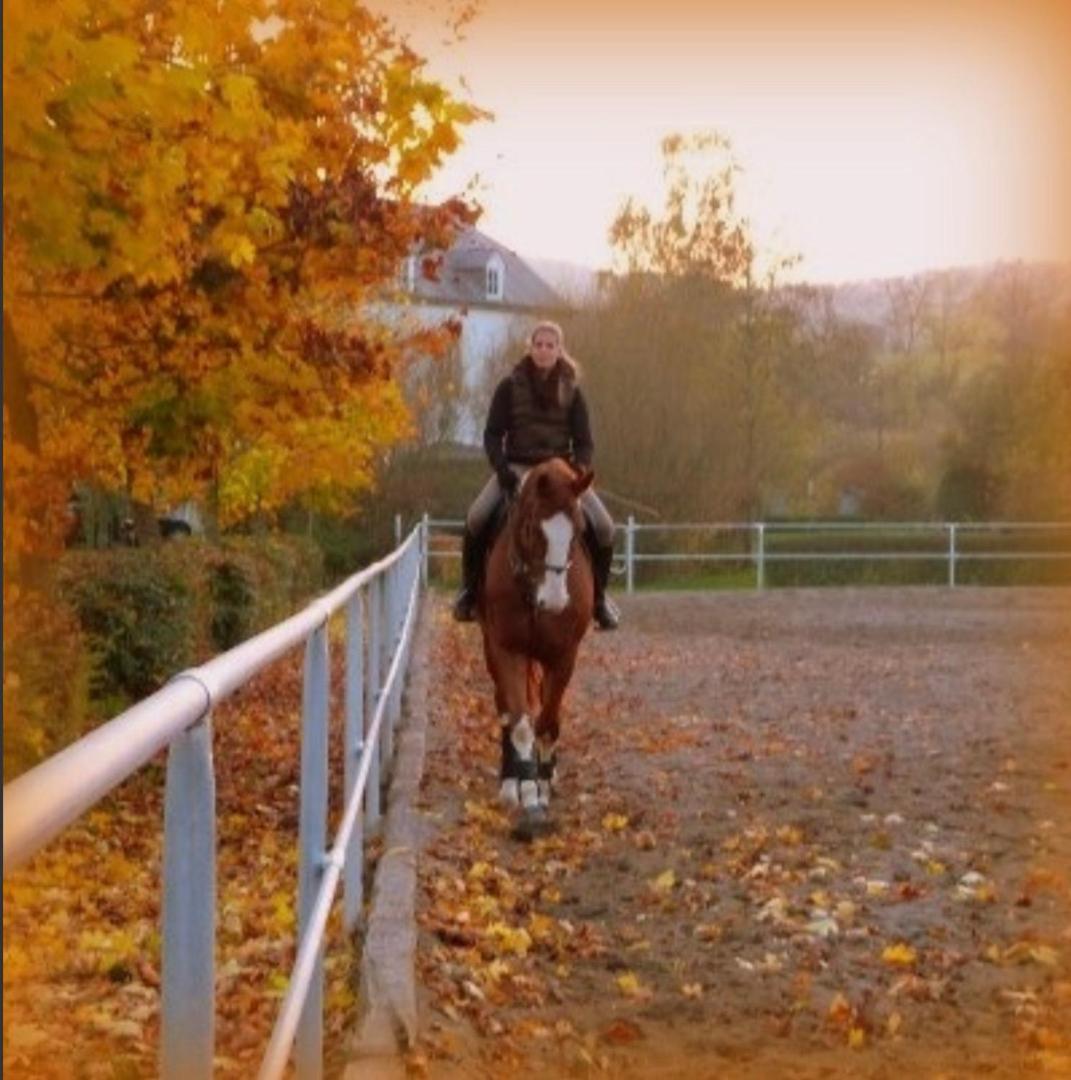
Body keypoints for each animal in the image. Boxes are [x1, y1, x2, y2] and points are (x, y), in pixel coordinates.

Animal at [477, 460, 595, 838]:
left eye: (578, 529)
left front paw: (543, 791)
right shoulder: (507, 651)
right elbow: (520, 723)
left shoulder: (563, 656)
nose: (555, 601)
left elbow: (546, 722)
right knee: (505, 709)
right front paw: (528, 800)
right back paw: (510, 783)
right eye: (531, 528)